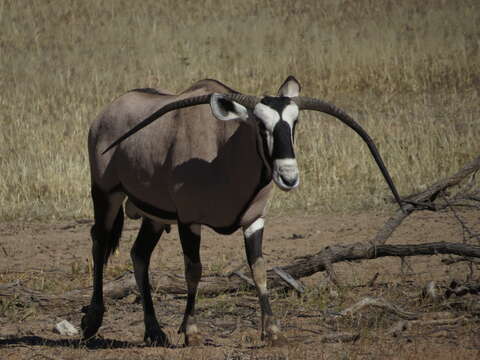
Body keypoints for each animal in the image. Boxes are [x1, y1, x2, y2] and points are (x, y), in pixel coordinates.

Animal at [82, 76, 402, 346]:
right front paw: (192, 332)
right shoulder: (189, 220)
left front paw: (272, 331)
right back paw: (92, 321)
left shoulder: (254, 220)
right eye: (260, 125)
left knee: (139, 254)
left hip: (155, 216)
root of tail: (106, 113)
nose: (288, 177)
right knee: (99, 242)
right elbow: (193, 271)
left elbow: (258, 269)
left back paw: (154, 331)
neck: (222, 149)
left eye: (295, 122)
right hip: (106, 194)